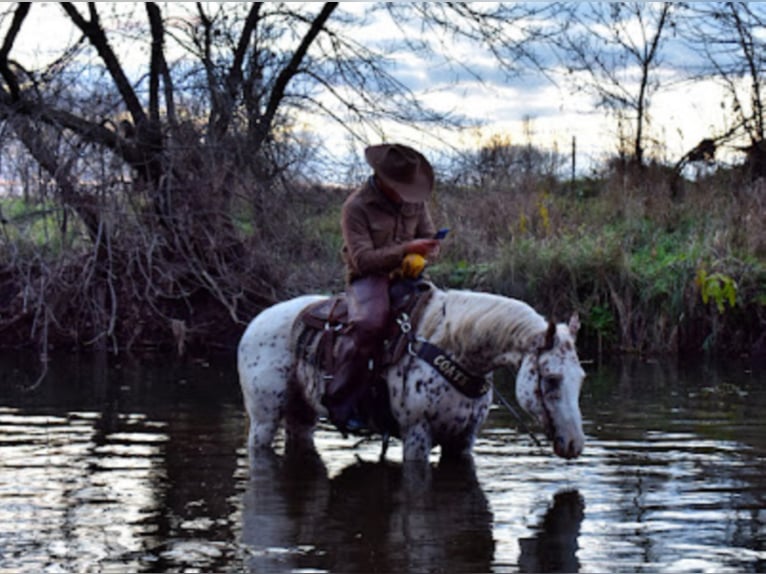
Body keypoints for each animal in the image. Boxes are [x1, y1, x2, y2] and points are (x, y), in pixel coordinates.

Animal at [240, 286, 588, 466]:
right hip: (264, 418)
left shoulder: (464, 440)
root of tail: (255, 321)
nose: (574, 444)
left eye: (581, 377)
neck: (452, 348)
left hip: (302, 414)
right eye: (552, 379)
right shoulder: (417, 435)